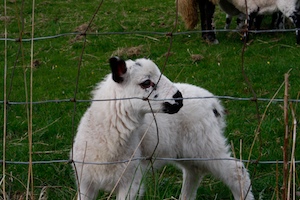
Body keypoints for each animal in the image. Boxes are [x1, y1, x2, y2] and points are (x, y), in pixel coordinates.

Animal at [70, 57, 253, 199]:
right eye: (146, 82)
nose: (179, 99)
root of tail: (214, 104)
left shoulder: (131, 180)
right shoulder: (85, 182)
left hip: (206, 143)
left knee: (237, 172)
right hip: (188, 150)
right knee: (193, 172)